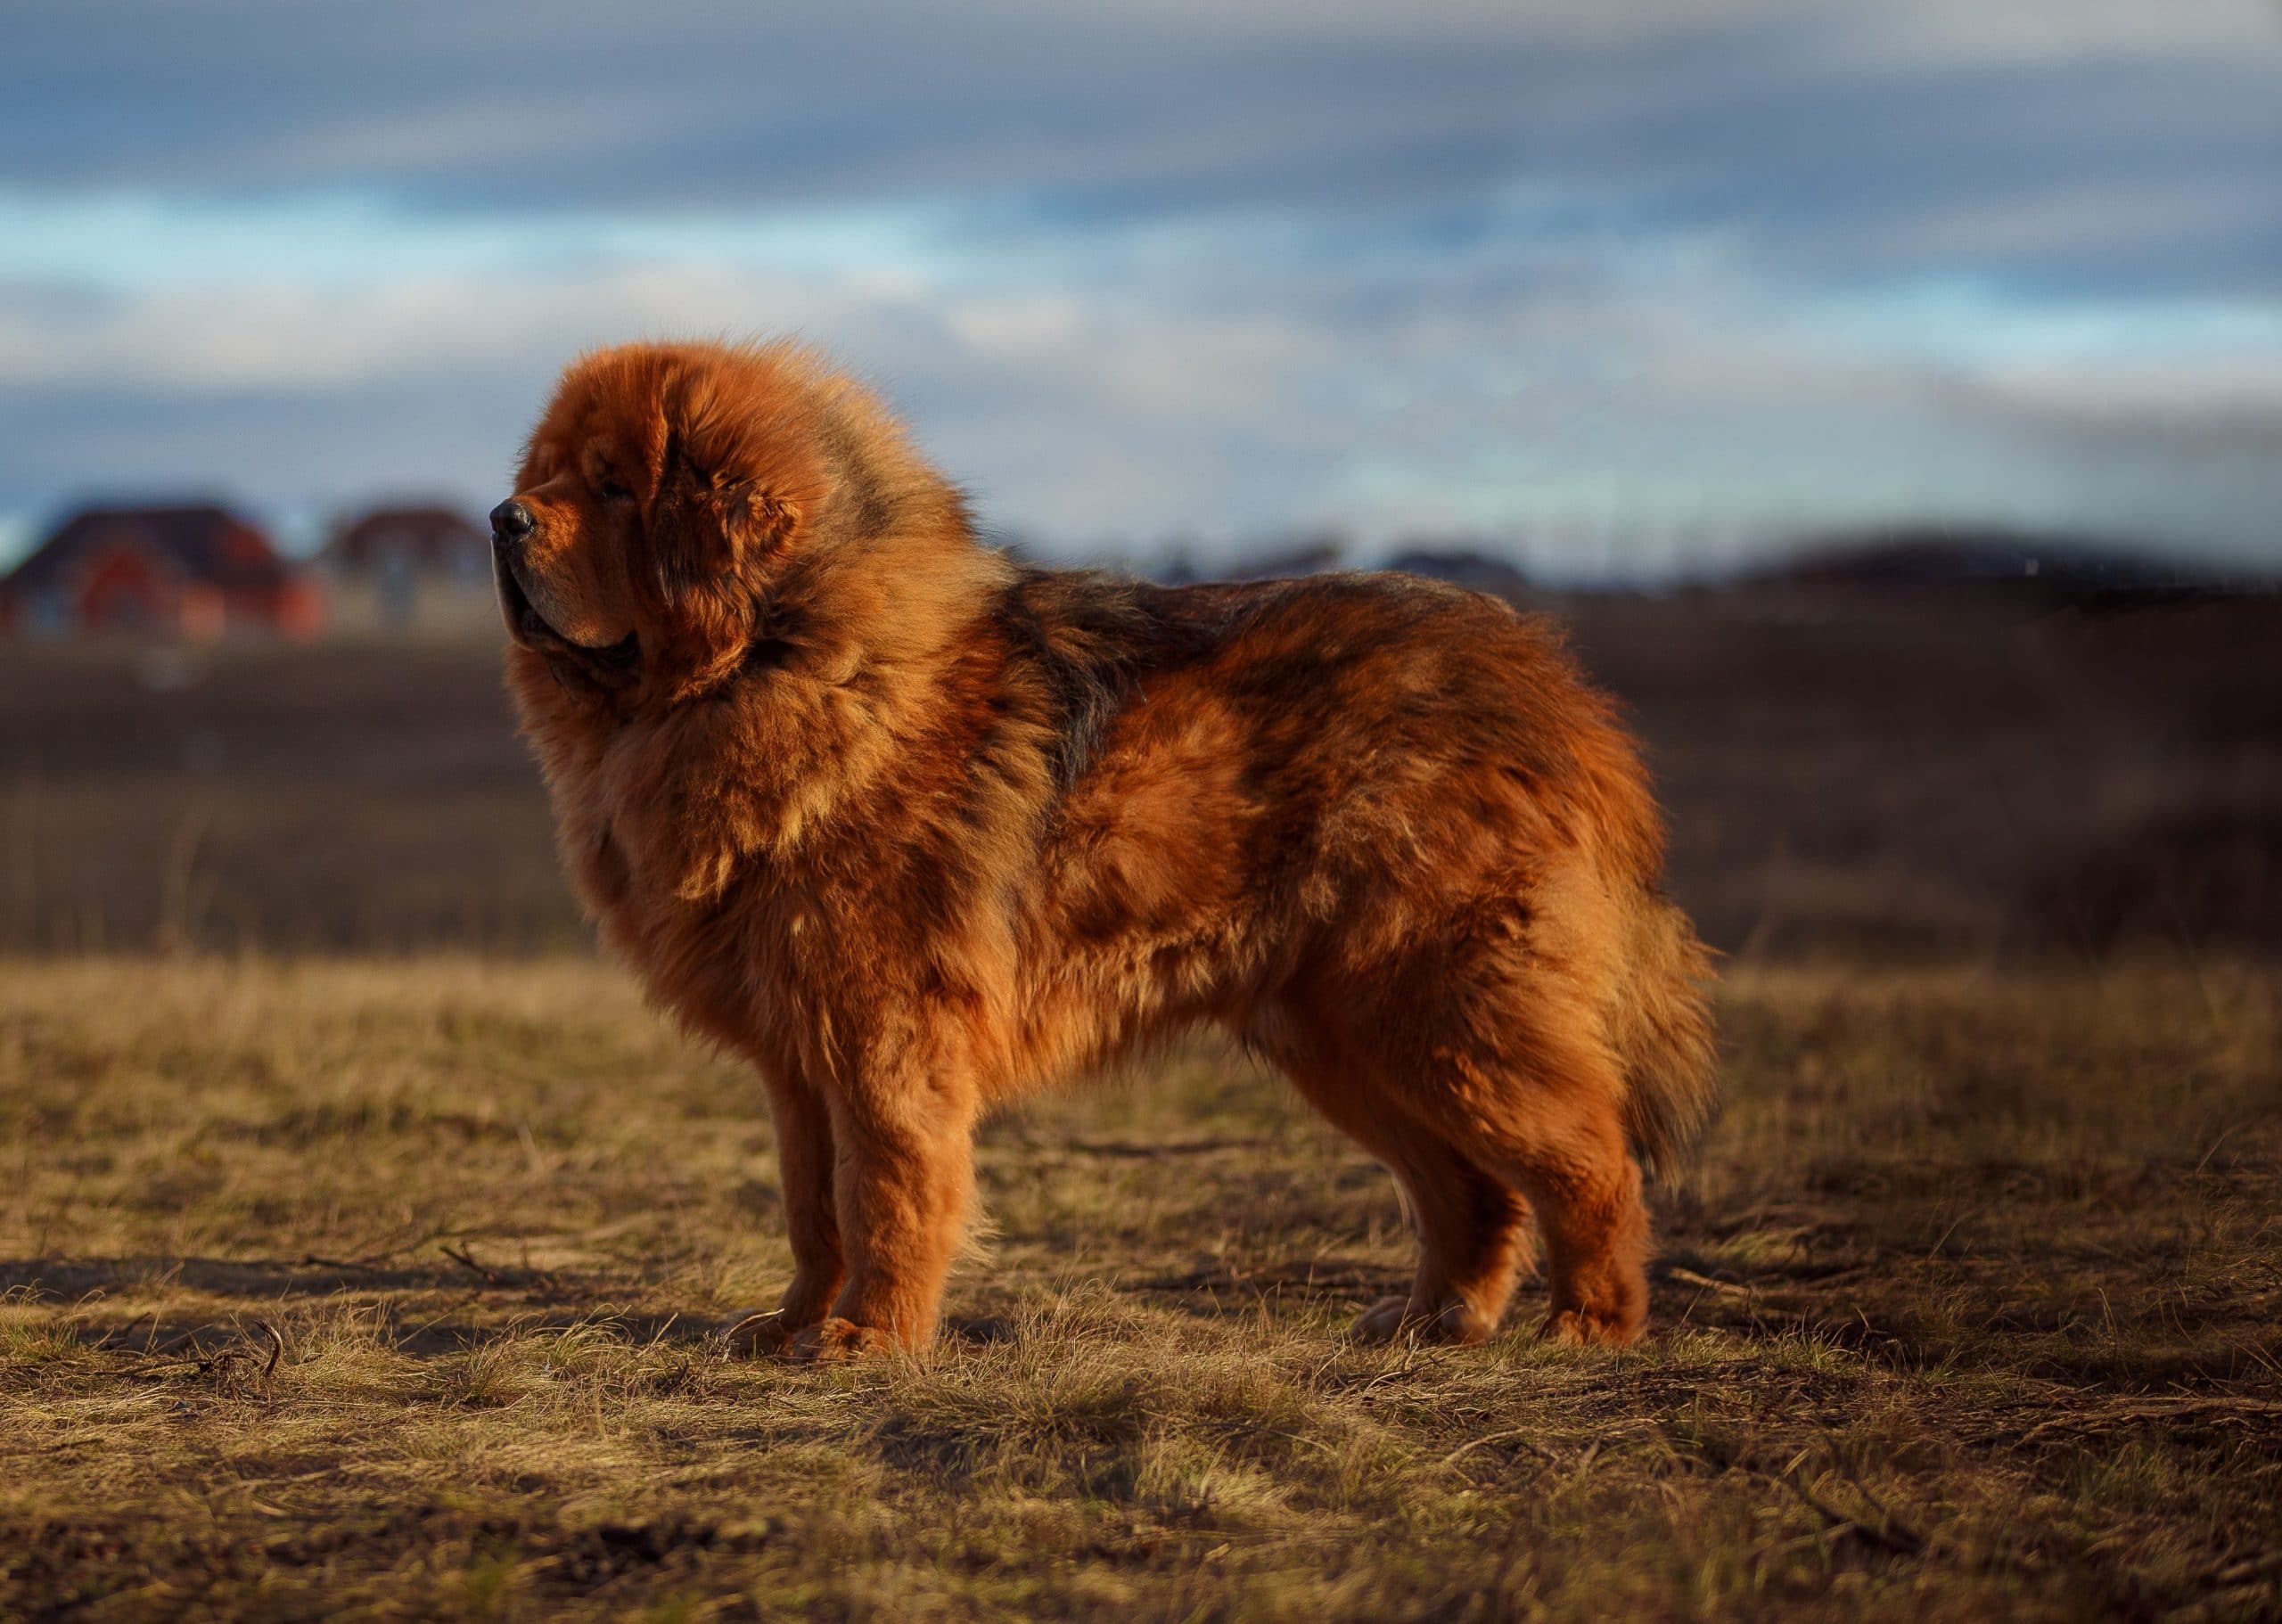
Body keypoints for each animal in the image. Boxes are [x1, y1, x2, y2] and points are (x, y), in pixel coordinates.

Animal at [495, 340, 1716, 1359]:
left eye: (613, 485)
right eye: (547, 474)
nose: (503, 518)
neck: (780, 656)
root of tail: (1549, 682)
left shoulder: (884, 1034)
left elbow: (884, 1192)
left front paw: (869, 1339)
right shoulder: (798, 1052)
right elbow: (811, 1209)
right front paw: (794, 1326)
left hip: (1442, 1006)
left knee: (1590, 1160)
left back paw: (1589, 1324)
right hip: (1339, 1032)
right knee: (1470, 1189)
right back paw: (1432, 1319)